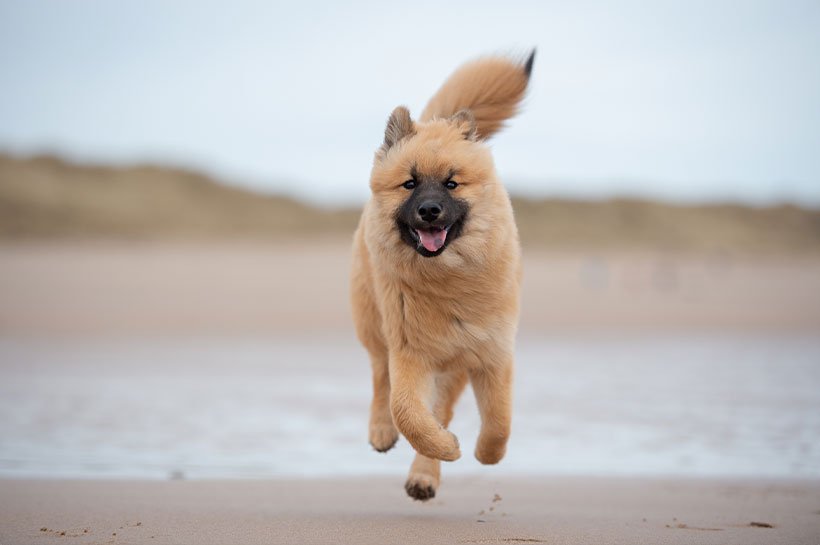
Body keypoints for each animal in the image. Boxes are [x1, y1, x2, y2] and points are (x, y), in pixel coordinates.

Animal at [350, 52, 536, 502]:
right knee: (380, 377)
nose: (430, 211)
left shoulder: (491, 354)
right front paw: (446, 447)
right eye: (410, 183)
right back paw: (384, 433)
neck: (449, 286)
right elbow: (407, 413)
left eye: (452, 183)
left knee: (442, 407)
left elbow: (499, 419)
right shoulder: (411, 352)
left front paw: (484, 454)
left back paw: (424, 475)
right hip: (371, 321)